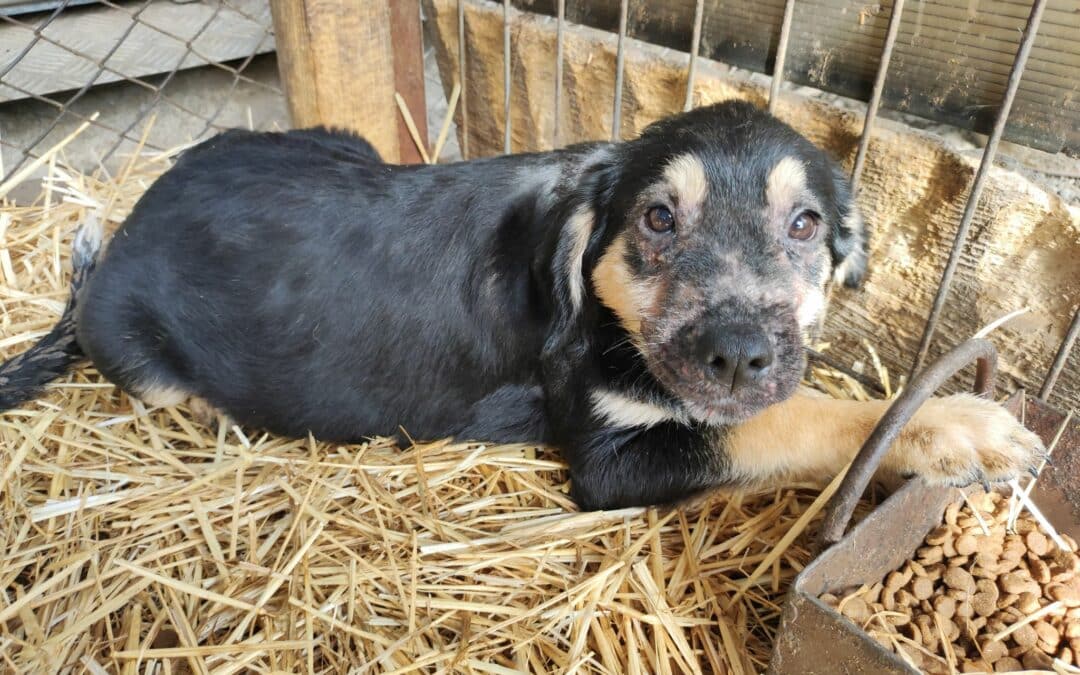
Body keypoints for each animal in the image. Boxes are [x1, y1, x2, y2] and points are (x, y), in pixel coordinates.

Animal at [0, 101, 1045, 505]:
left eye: (804, 226)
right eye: (658, 218)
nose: (741, 355)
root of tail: (130, 220)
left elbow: (786, 405)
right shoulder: (612, 457)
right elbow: (791, 422)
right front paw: (955, 426)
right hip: (142, 357)